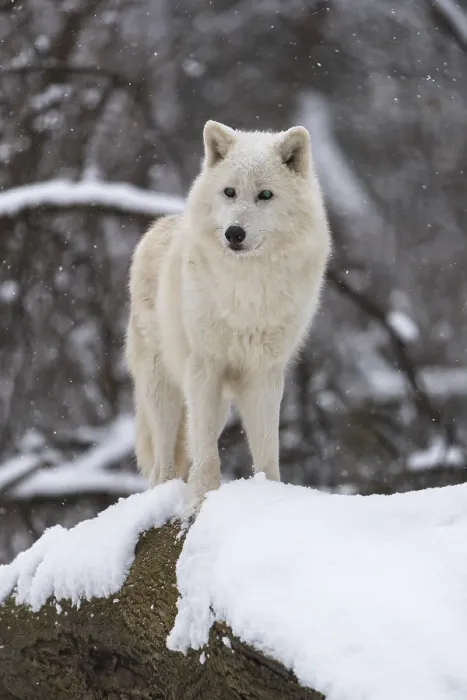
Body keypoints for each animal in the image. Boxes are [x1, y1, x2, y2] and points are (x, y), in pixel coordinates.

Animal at [126, 120, 331, 511]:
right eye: (230, 192)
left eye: (265, 195)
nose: (234, 233)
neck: (247, 288)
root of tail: (158, 227)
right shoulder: (205, 366)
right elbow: (208, 457)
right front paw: (200, 501)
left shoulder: (265, 373)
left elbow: (266, 450)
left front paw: (271, 495)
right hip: (165, 389)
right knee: (163, 464)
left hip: (216, 402)